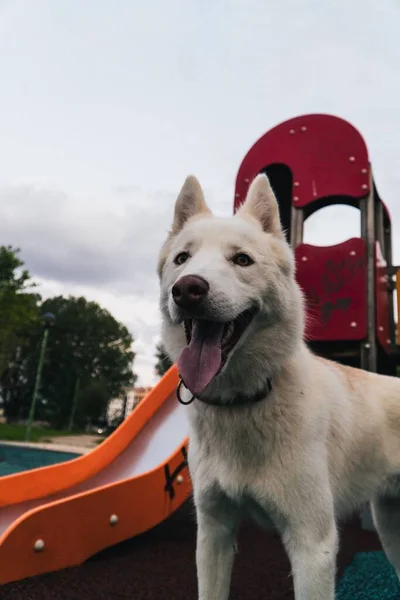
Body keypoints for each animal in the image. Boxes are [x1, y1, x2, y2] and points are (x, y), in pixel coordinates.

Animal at [158, 173, 400, 600]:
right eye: (182, 259)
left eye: (242, 260)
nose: (187, 289)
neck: (244, 401)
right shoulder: (213, 533)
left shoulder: (313, 543)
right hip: (390, 524)